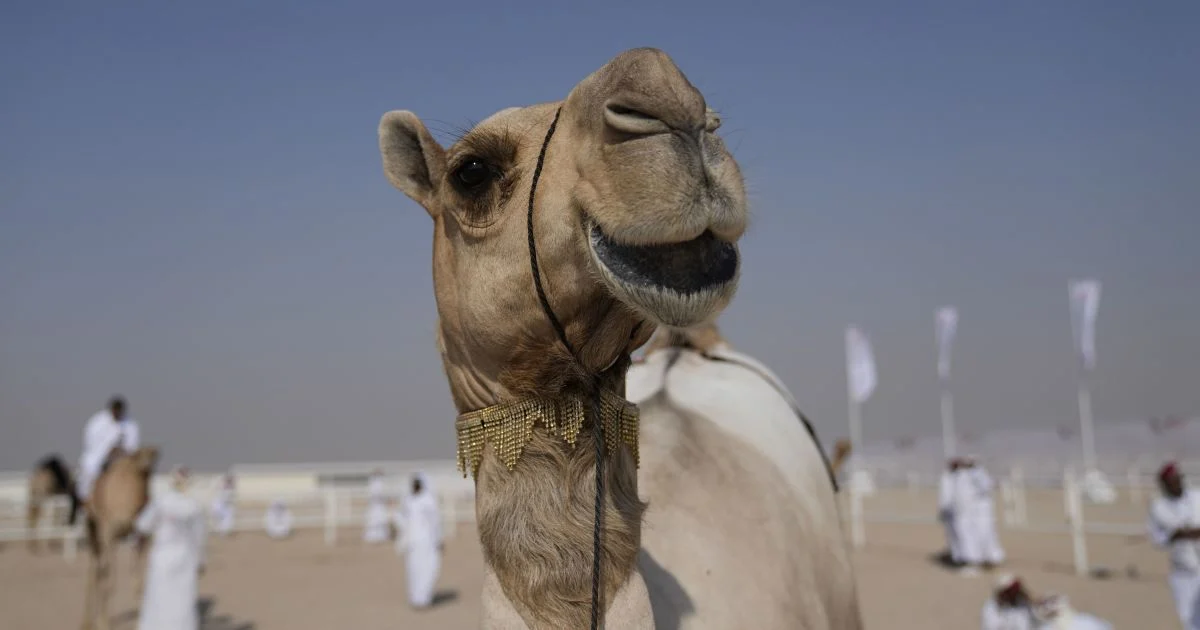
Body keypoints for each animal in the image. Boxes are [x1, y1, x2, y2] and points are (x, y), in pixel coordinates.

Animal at [81, 445, 159, 630]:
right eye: (138, 454)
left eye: (154, 454)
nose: (147, 463)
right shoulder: (110, 534)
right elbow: (109, 579)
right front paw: (103, 623)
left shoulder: (141, 536)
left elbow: (139, 581)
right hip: (93, 530)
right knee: (95, 571)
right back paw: (86, 622)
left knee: (99, 571)